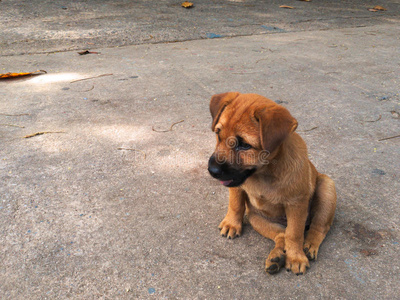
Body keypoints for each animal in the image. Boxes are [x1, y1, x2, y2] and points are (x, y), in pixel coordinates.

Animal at [208, 92, 336, 276]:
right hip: (257, 219)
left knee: (318, 227)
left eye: (245, 145)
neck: (264, 174)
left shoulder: (297, 204)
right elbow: (235, 204)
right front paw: (231, 223)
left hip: (327, 188)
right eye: (218, 134)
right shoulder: (236, 185)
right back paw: (277, 257)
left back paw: (309, 245)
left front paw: (296, 257)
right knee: (281, 235)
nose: (212, 170)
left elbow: (295, 234)